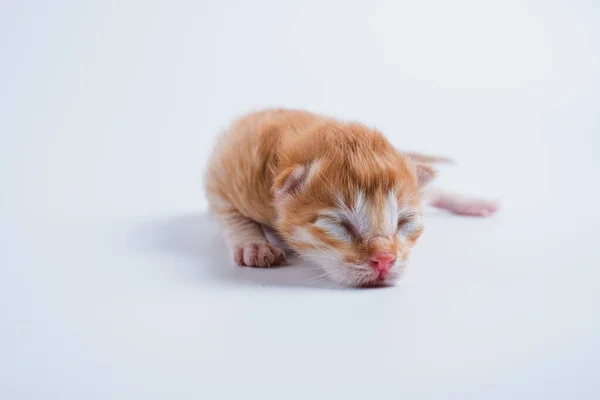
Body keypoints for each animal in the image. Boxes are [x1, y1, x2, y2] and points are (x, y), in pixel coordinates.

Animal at [205, 108, 496, 286]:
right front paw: (254, 245)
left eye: (404, 222)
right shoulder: (228, 169)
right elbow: (231, 214)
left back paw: (474, 203)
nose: (385, 261)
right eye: (340, 225)